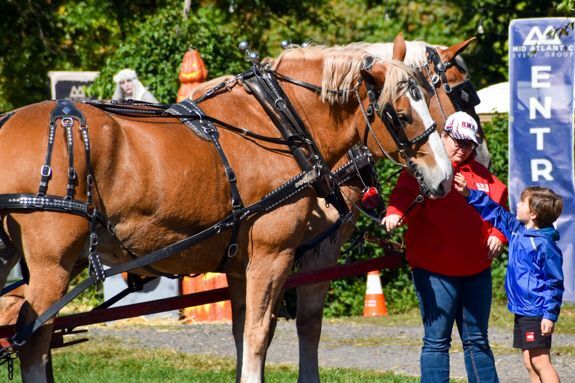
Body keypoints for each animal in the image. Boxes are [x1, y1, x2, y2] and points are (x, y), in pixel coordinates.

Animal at [0, 34, 452, 382]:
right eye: (401, 113)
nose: (445, 176)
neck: (280, 121)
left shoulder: (238, 264)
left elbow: (241, 334)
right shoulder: (276, 255)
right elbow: (260, 335)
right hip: (52, 264)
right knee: (34, 341)